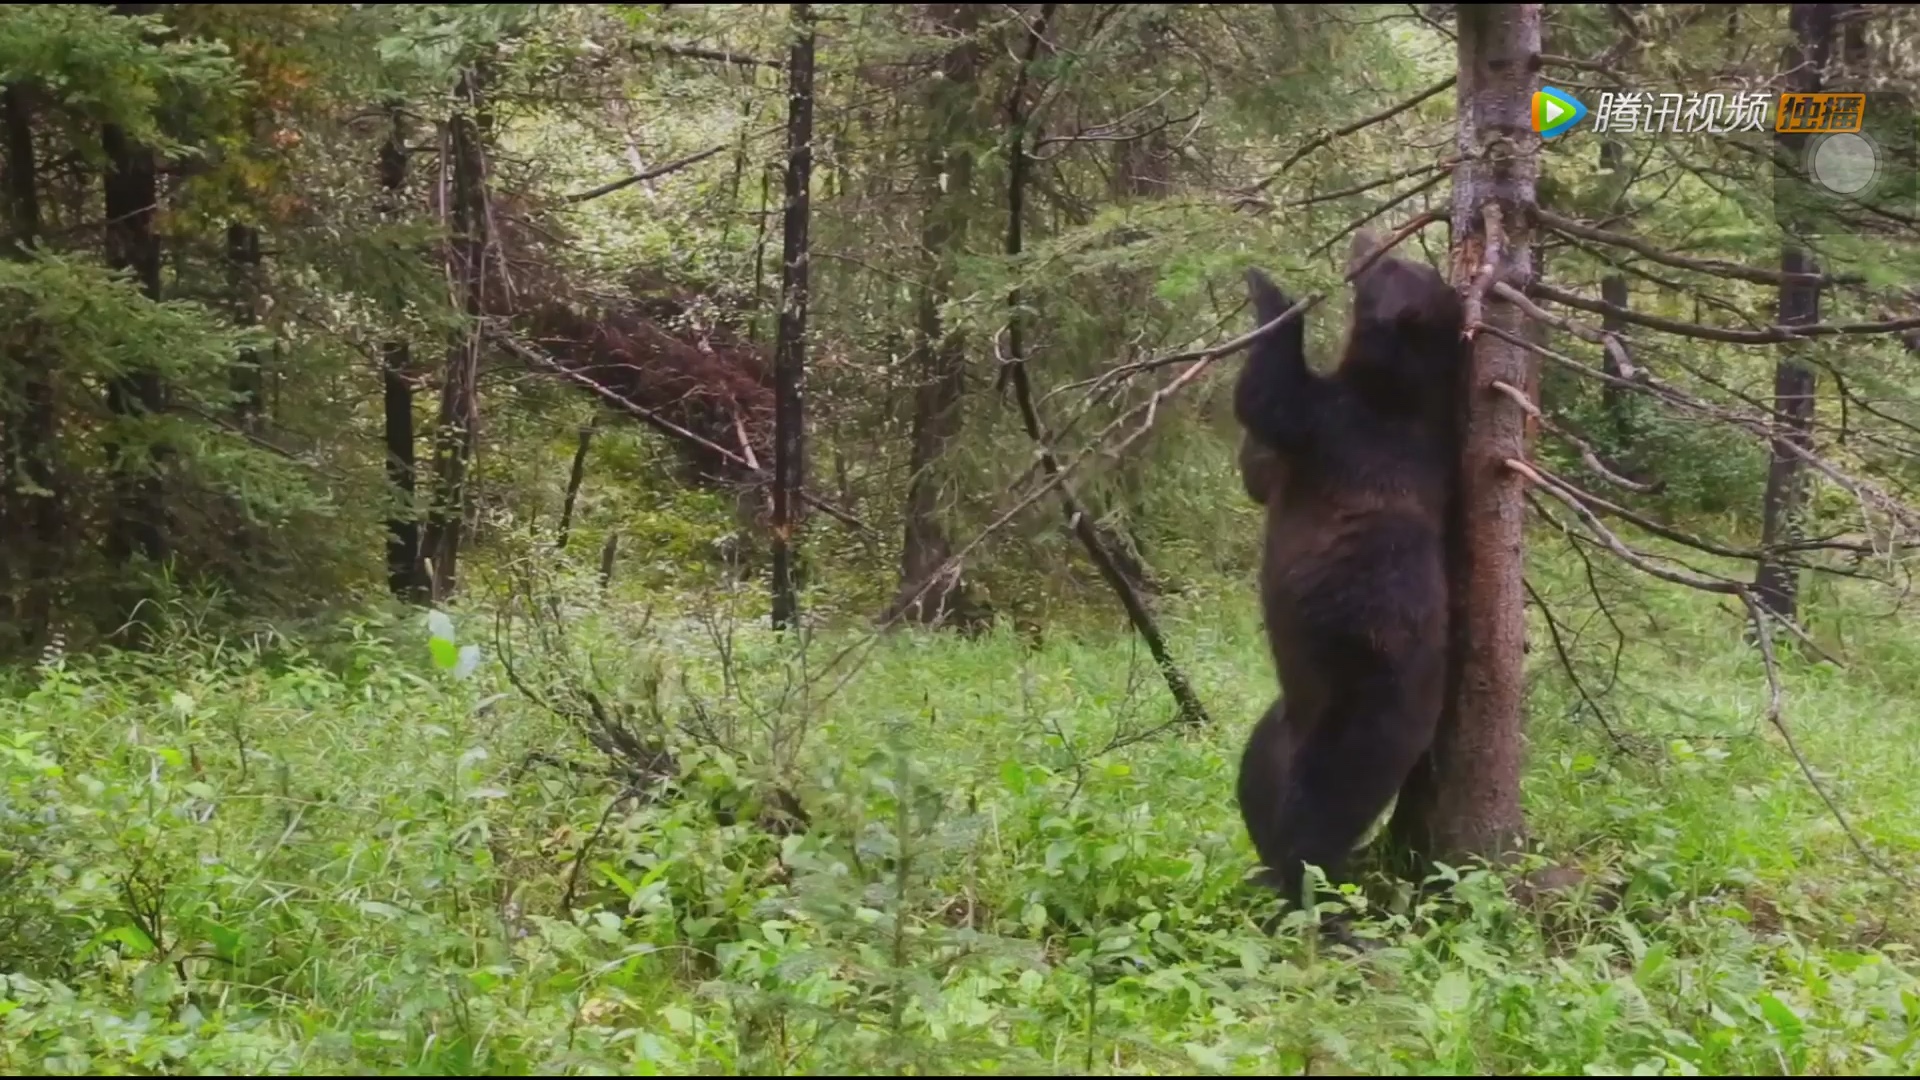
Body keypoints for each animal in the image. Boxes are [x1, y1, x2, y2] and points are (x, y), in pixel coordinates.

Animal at [1236, 228, 1459, 933]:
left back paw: (1316, 902)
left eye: (1393, 266)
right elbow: (1259, 472)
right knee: (1255, 781)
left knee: (1316, 826)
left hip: (1357, 721)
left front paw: (1266, 289)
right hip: (1283, 717)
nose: (1370, 236)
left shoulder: (1340, 430)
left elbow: (1268, 397)